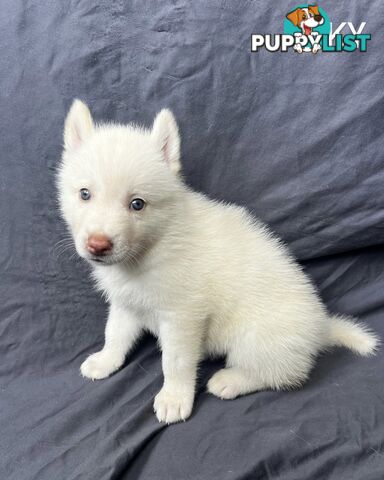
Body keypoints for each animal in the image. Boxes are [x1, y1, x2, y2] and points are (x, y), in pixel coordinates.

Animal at [57, 99, 378, 422]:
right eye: (85, 194)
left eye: (137, 204)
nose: (98, 245)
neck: (149, 251)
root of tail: (320, 327)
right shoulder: (126, 303)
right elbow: (115, 334)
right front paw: (105, 360)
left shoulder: (183, 316)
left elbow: (175, 361)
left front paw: (174, 397)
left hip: (256, 337)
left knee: (283, 373)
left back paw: (231, 380)